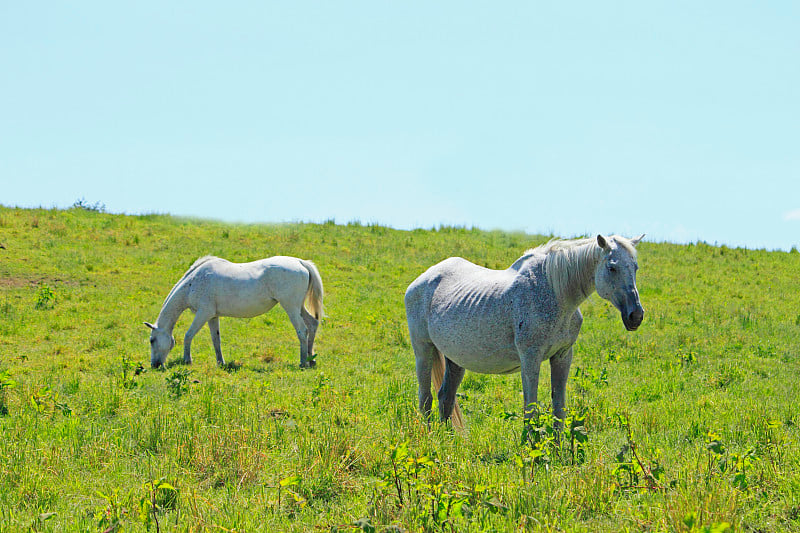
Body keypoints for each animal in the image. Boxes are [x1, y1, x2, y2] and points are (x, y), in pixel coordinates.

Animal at [145, 256, 324, 368]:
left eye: (152, 340)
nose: (155, 365)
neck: (193, 282)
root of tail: (300, 262)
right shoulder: (212, 316)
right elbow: (216, 340)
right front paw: (220, 362)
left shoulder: (203, 313)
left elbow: (188, 335)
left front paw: (187, 360)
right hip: (299, 307)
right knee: (313, 324)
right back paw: (311, 359)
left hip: (291, 307)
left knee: (302, 330)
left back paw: (302, 362)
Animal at [406, 234, 644, 432]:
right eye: (612, 268)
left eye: (635, 268)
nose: (636, 315)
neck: (555, 292)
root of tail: (422, 279)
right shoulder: (531, 358)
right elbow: (531, 410)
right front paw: (532, 451)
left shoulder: (562, 356)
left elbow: (559, 409)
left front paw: (558, 452)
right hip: (423, 350)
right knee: (425, 398)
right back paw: (430, 439)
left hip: (455, 359)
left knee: (445, 397)